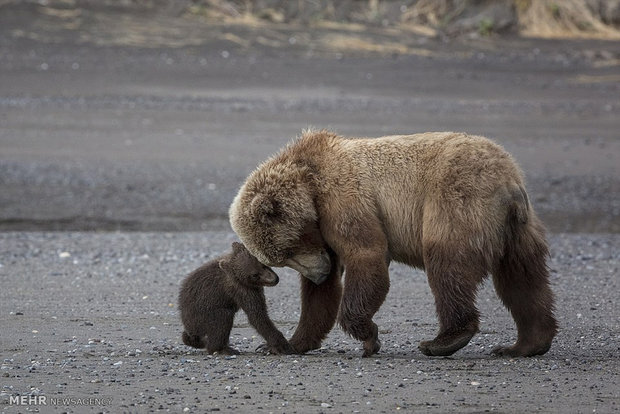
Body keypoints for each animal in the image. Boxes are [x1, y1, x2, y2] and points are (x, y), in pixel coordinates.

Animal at [228, 131, 556, 358]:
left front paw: (369, 336)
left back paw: (442, 341)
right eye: (280, 259)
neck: (309, 181)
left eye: (288, 250)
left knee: (447, 265)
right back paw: (524, 344)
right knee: (523, 279)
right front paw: (287, 343)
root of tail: (509, 181)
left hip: (459, 201)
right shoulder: (324, 236)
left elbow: (367, 256)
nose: (317, 274)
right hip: (518, 230)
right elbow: (320, 297)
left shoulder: (345, 200)